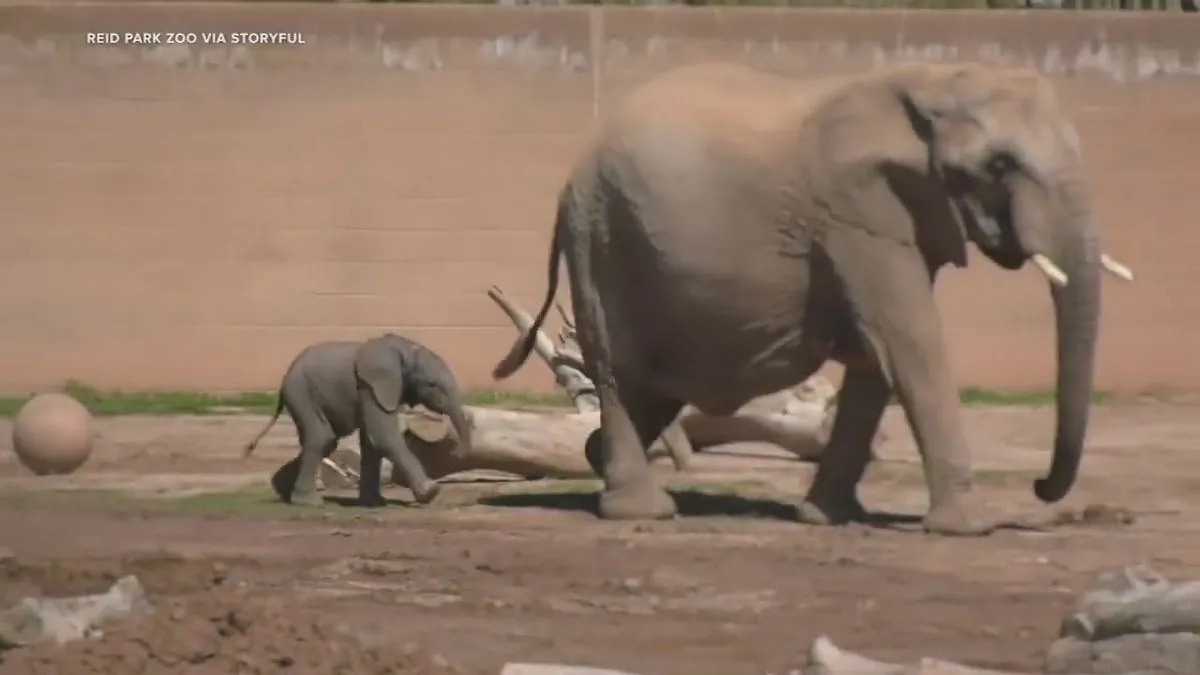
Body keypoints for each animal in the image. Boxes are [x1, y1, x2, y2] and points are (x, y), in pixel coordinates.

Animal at [243, 331, 472, 504]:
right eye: (433, 386)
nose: (459, 453)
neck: (404, 349)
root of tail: (283, 383)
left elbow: (371, 441)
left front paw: (374, 503)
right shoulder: (370, 386)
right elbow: (382, 436)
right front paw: (431, 492)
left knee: (325, 441)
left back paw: (284, 493)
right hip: (301, 393)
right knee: (321, 438)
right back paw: (309, 502)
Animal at [489, 60, 1132, 533]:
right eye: (999, 164)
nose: (1041, 488)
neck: (929, 82)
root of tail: (571, 177)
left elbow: (876, 361)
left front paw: (830, 518)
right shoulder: (857, 214)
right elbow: (910, 340)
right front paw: (969, 528)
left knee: (658, 389)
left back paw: (598, 459)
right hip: (601, 240)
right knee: (620, 370)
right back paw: (641, 512)